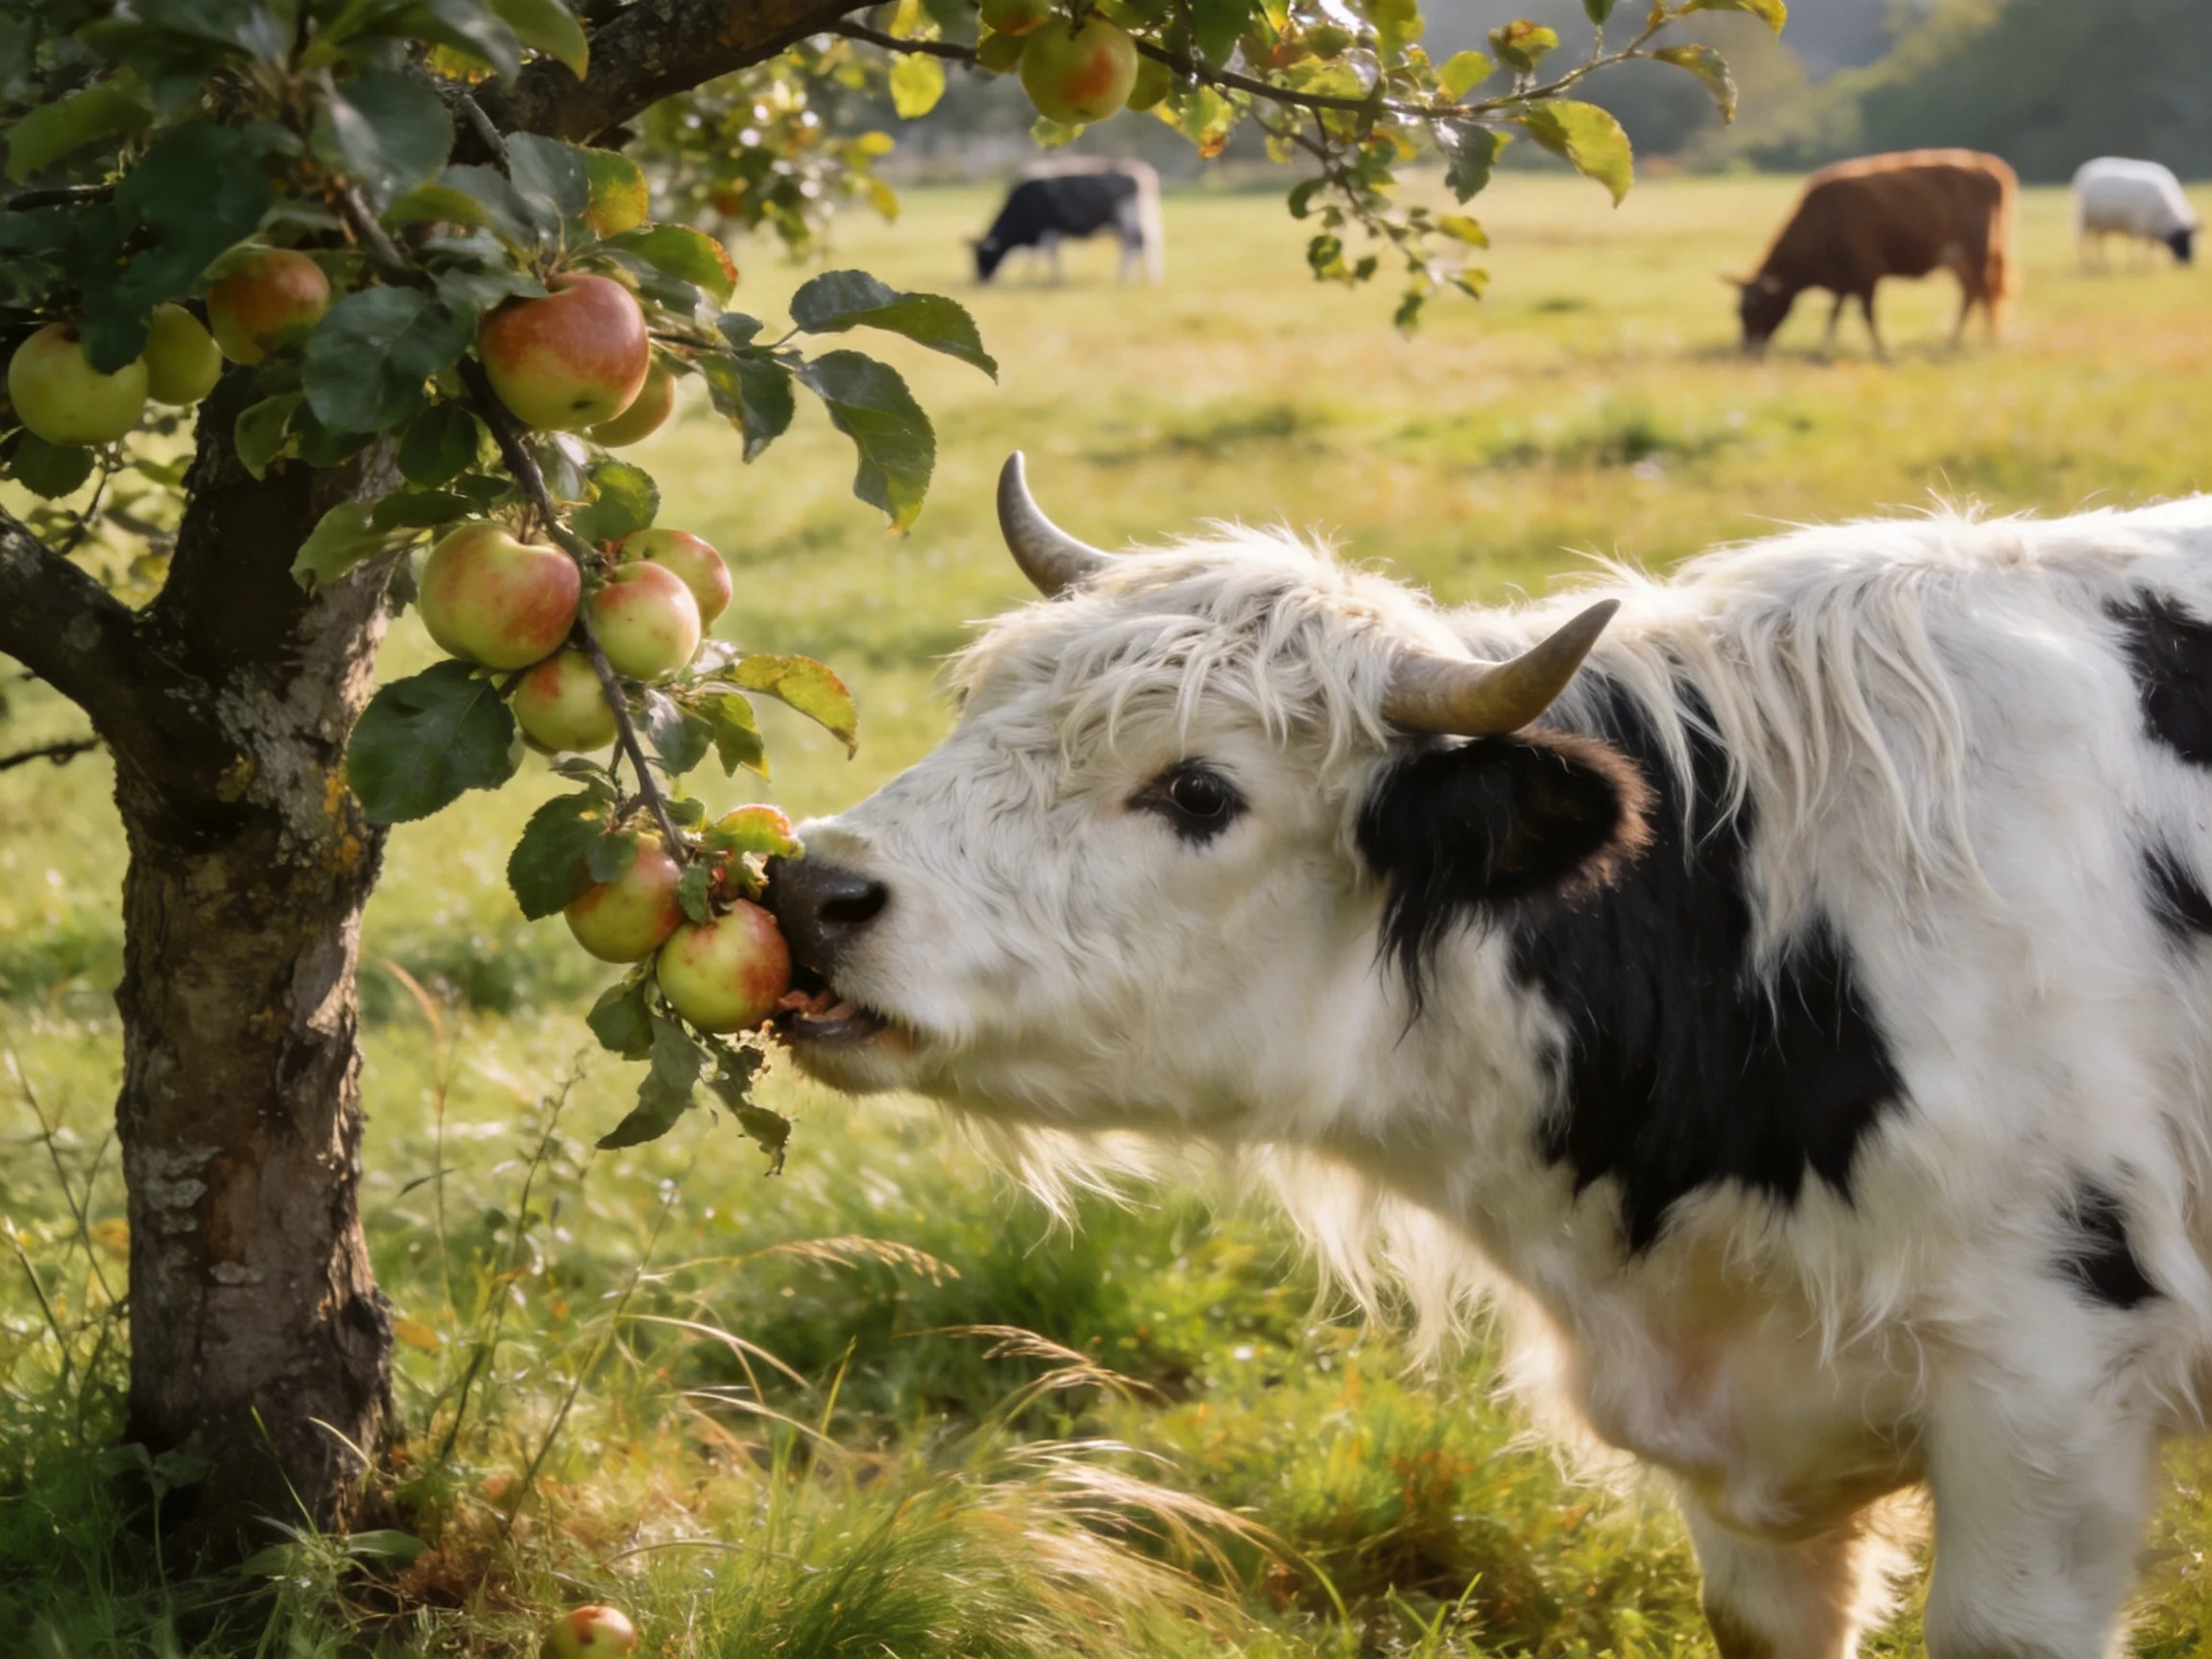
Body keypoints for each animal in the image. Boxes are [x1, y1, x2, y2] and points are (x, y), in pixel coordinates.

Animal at [971, 158, 1164, 285]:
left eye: (983, 256)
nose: (980, 280)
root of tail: (1143, 173)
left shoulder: (1049, 229)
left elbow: (1049, 255)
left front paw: (1056, 279)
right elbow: (1035, 257)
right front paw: (1031, 276)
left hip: (1128, 215)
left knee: (1134, 243)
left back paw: (1126, 278)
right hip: (1138, 217)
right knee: (1143, 244)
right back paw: (1148, 278)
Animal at [1733, 149, 2016, 359]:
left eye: (1754, 307)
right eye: (1738, 311)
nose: (1747, 348)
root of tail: (1988, 166)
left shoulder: (1866, 274)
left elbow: (1867, 314)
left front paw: (1881, 349)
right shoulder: (1844, 281)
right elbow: (1835, 313)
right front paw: (1825, 345)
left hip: (1977, 252)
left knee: (1979, 291)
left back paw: (1968, 340)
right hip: (1960, 261)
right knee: (1976, 293)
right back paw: (1976, 338)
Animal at [2074, 157, 2198, 269]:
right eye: (2182, 240)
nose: (2187, 262)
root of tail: (2086, 168)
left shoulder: (2150, 230)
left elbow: (2151, 247)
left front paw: (2152, 264)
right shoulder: (2138, 225)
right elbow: (2135, 246)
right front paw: (2134, 265)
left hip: (2098, 225)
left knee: (2098, 243)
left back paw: (2100, 264)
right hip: (2083, 221)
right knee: (2082, 243)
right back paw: (2087, 264)